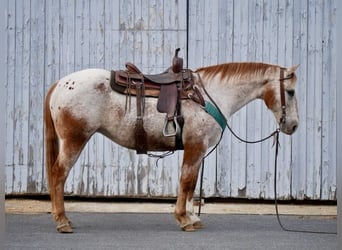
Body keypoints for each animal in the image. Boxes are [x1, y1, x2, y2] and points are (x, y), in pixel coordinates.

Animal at [44, 61, 298, 233]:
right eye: (291, 91)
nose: (293, 126)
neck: (210, 96)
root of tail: (59, 84)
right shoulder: (195, 146)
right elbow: (186, 181)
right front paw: (184, 219)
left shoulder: (198, 150)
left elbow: (191, 184)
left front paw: (192, 218)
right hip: (75, 140)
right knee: (58, 174)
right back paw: (63, 222)